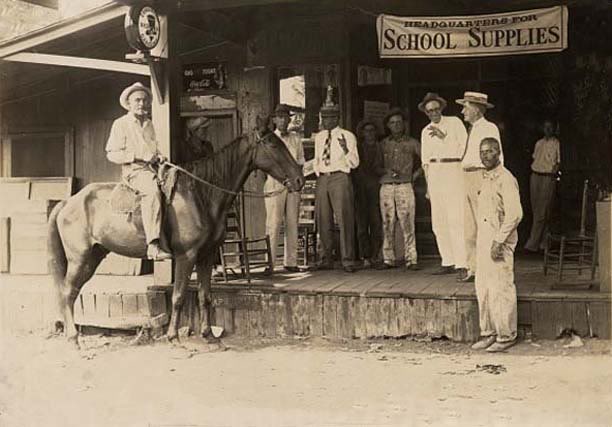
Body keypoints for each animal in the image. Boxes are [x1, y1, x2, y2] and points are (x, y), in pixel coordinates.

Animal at [47, 116, 304, 348]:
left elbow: (204, 296)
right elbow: (178, 296)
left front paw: (209, 336)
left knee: (71, 292)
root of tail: (67, 203)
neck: (200, 194)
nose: (299, 179)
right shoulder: (186, 256)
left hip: (93, 257)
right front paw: (174, 338)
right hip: (80, 259)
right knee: (67, 292)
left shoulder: (206, 256)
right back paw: (73, 340)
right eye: (272, 144)